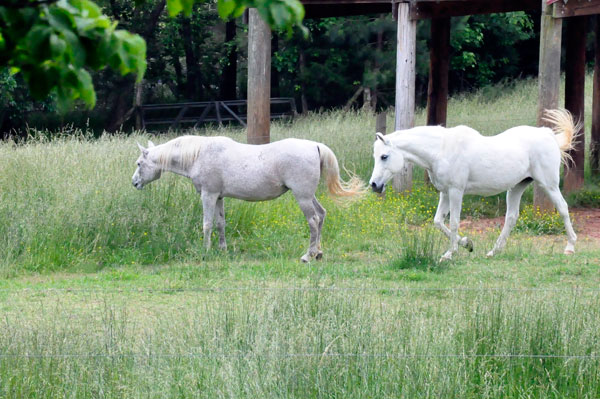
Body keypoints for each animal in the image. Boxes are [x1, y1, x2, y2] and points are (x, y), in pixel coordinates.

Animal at [133, 136, 364, 264]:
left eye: (138, 163)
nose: (134, 182)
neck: (199, 155)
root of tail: (315, 146)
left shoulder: (208, 195)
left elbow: (207, 224)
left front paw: (205, 251)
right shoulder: (218, 197)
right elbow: (220, 223)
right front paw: (222, 249)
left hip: (302, 197)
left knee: (313, 221)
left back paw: (308, 255)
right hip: (308, 195)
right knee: (322, 215)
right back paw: (318, 252)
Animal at [370, 108, 580, 262]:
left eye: (384, 156)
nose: (374, 185)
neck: (441, 149)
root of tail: (548, 134)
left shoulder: (456, 191)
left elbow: (454, 222)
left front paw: (450, 253)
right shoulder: (445, 193)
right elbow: (438, 221)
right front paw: (467, 243)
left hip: (549, 184)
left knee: (563, 208)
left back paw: (570, 247)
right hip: (516, 187)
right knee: (511, 217)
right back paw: (494, 252)